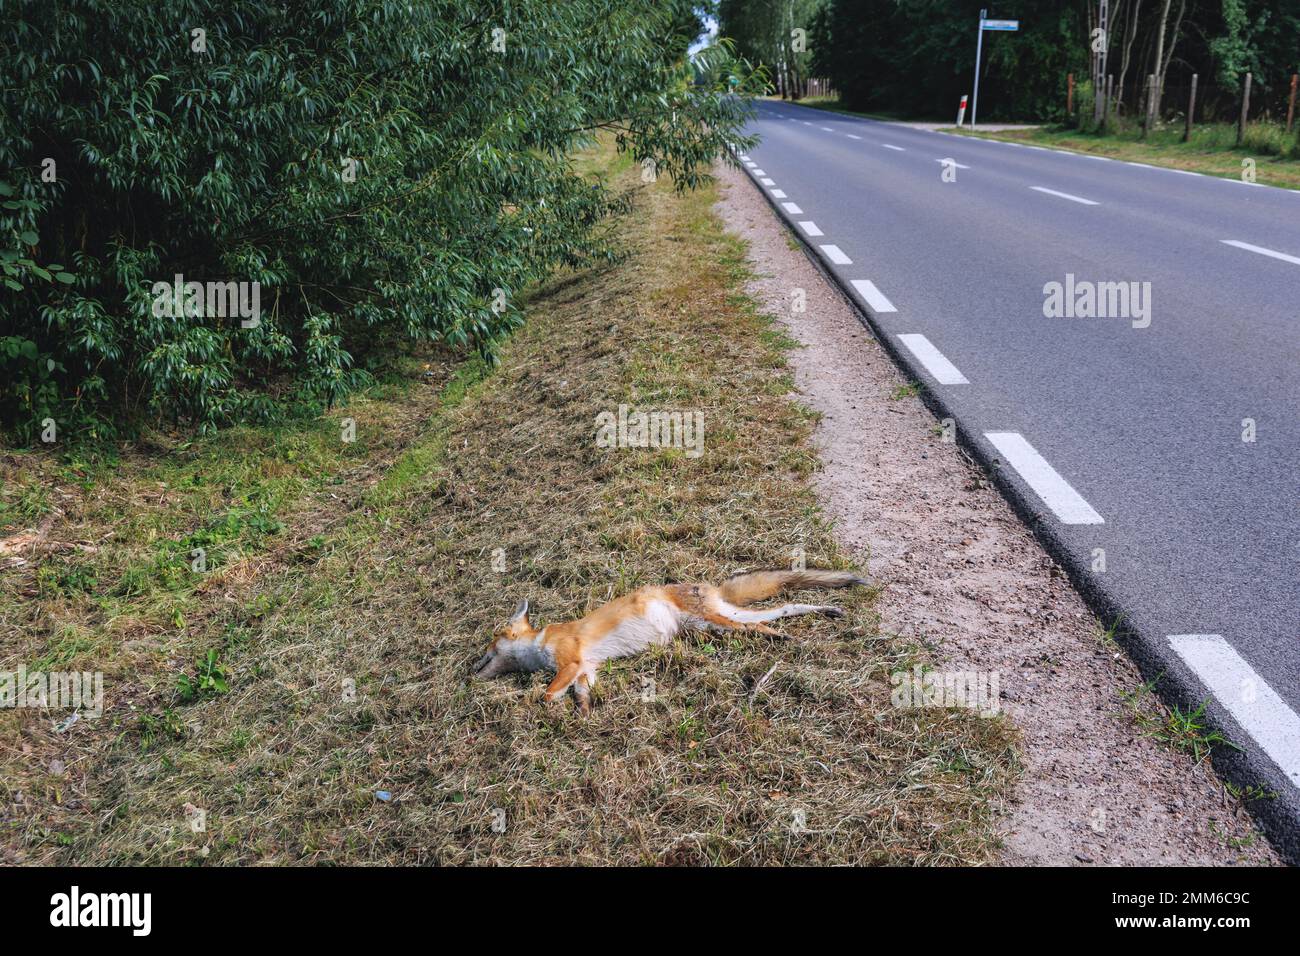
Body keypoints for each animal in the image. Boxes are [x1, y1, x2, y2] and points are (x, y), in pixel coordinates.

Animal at [470, 568, 866, 714]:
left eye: (487, 648)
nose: (470, 670)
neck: (538, 645)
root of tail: (710, 587)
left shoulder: (571, 661)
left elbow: (548, 693)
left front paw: (546, 705)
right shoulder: (587, 668)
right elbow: (582, 693)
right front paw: (585, 715)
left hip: (716, 623)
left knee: (763, 623)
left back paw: (784, 634)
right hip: (722, 622)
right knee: (784, 608)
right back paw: (822, 614)